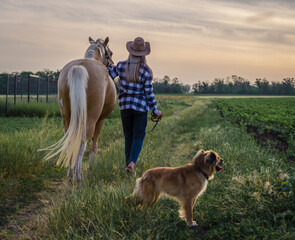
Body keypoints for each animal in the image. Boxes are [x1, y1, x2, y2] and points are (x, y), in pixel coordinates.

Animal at [42, 37, 117, 184]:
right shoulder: (101, 120)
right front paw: (90, 168)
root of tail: (79, 67)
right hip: (91, 119)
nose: (112, 64)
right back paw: (78, 177)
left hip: (67, 117)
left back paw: (70, 175)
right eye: (109, 53)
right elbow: (94, 145)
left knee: (70, 140)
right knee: (83, 141)